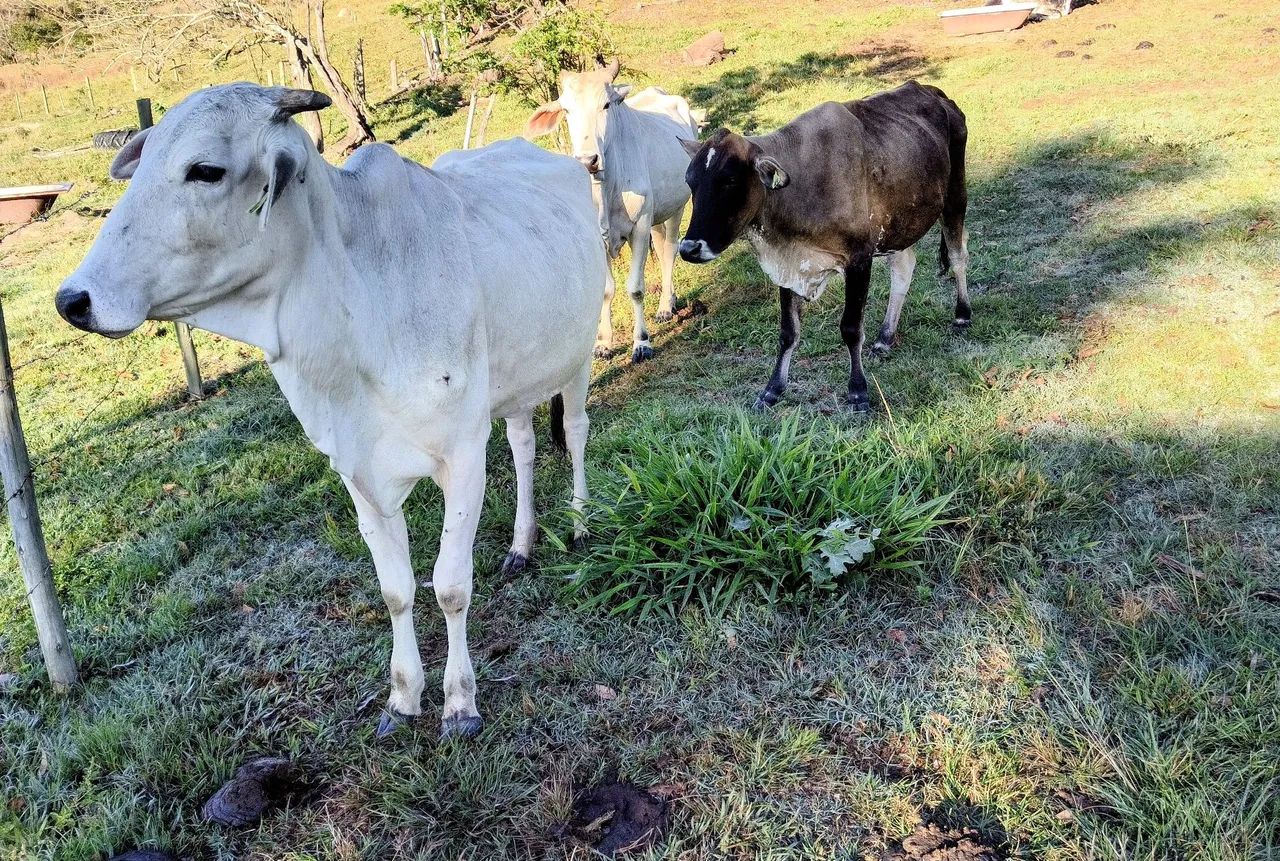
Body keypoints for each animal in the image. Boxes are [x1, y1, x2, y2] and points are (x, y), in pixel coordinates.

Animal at [53, 84, 608, 740]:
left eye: (205, 170)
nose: (73, 299)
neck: (355, 306)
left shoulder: (462, 454)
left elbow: (449, 586)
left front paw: (460, 704)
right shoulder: (358, 470)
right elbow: (396, 590)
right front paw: (402, 698)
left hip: (577, 354)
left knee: (576, 432)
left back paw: (579, 523)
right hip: (516, 383)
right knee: (523, 447)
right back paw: (521, 546)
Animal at [525, 59, 698, 363]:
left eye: (606, 104)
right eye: (566, 109)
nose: (587, 160)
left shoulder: (639, 227)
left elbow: (636, 288)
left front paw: (642, 342)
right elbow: (606, 290)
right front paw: (603, 343)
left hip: (677, 206)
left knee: (669, 250)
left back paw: (665, 305)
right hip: (658, 213)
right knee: (662, 244)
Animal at [677, 81, 970, 411]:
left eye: (729, 181)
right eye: (690, 182)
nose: (689, 249)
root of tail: (932, 91)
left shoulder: (859, 259)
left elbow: (851, 328)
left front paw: (858, 391)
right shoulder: (789, 266)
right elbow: (788, 332)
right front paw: (772, 389)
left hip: (955, 197)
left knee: (958, 255)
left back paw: (962, 313)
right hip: (900, 223)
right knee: (903, 269)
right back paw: (885, 337)